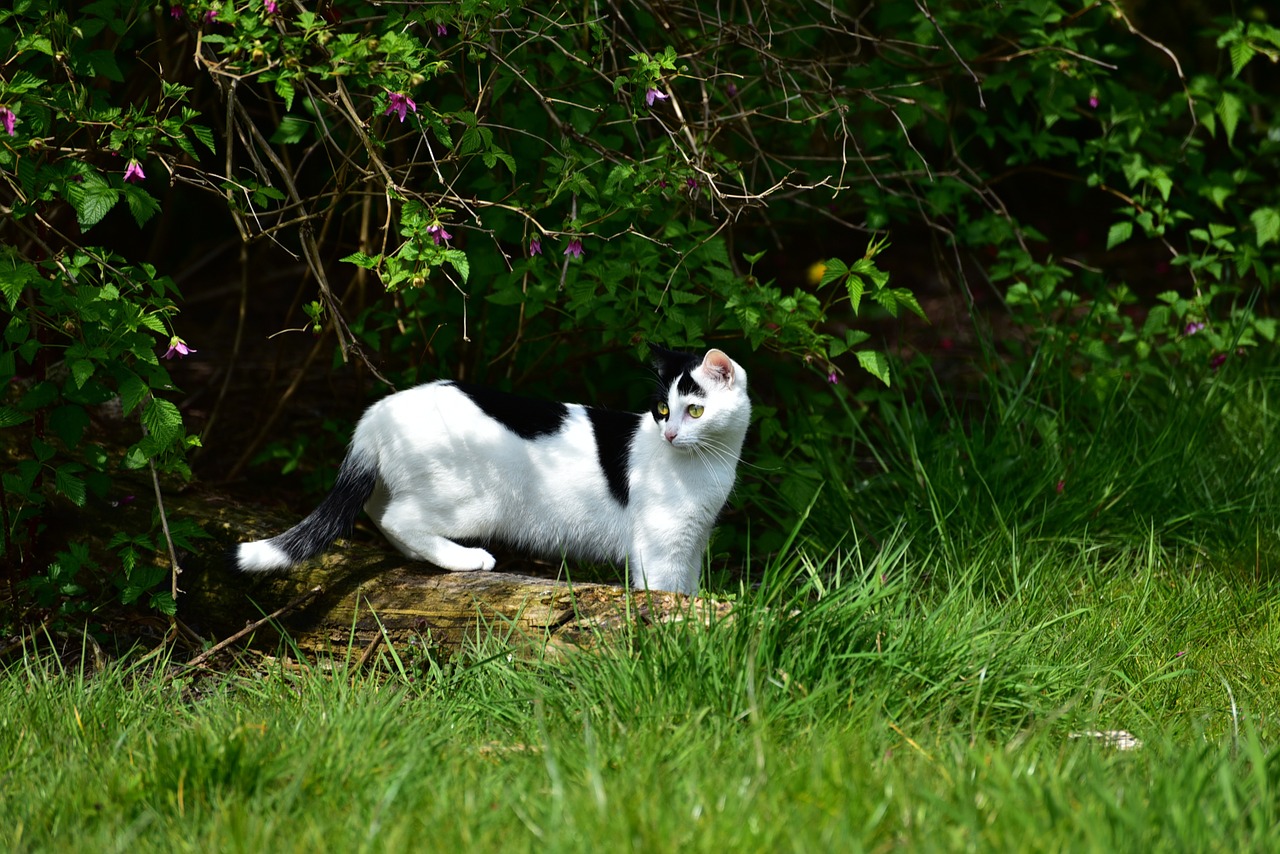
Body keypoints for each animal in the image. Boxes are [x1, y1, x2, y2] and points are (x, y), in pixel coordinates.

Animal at [232, 348, 747, 594]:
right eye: (663, 409)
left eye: (694, 410)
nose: (671, 434)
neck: (711, 465)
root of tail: (378, 411)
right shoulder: (662, 549)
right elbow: (665, 595)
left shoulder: (692, 543)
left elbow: (688, 590)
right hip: (477, 501)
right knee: (400, 517)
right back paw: (465, 558)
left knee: (380, 513)